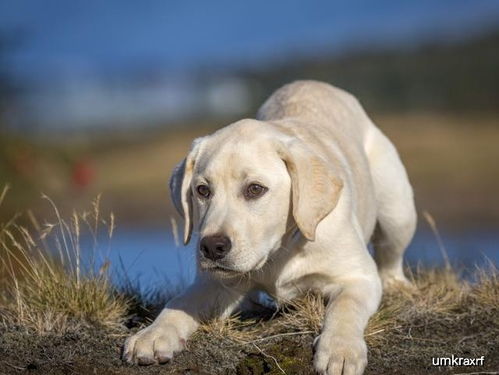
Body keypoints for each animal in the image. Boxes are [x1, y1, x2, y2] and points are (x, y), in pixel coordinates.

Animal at [123, 81, 416, 374]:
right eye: (202, 190)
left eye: (255, 189)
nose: (211, 247)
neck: (279, 251)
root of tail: (315, 83)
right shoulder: (215, 283)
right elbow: (180, 302)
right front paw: (153, 334)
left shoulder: (358, 276)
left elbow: (346, 306)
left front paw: (340, 349)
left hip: (397, 210)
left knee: (391, 258)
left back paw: (397, 285)